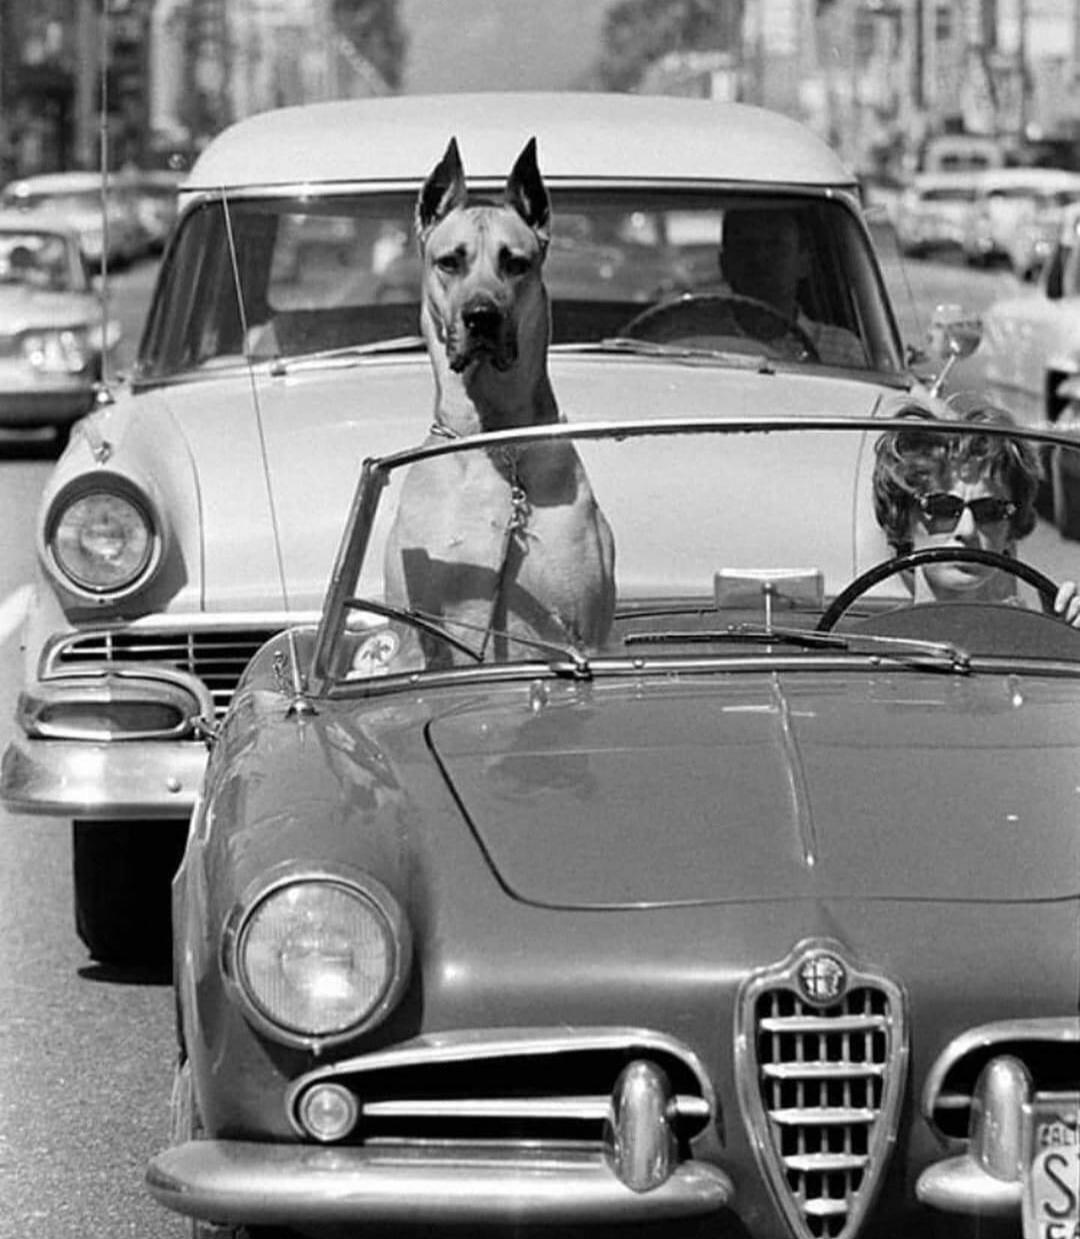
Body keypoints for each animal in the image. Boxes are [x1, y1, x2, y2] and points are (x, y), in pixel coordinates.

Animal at [378, 138, 616, 669]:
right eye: (450, 261)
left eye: (516, 262)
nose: (481, 316)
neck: (491, 441)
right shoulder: (416, 636)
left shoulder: (580, 632)